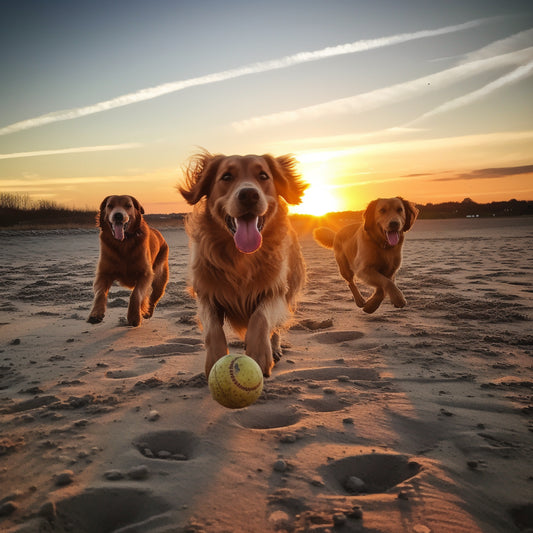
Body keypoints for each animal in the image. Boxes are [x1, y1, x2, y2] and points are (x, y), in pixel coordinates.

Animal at [88, 194, 168, 324]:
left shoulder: (145, 274)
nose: (118, 215)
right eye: (110, 205)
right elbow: (100, 293)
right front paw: (96, 313)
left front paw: (134, 316)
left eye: (128, 205)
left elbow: (136, 294)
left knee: (154, 296)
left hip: (160, 277)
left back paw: (147, 312)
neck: (123, 243)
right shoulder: (103, 273)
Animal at [178, 152, 308, 376]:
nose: (248, 195)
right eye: (226, 177)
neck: (241, 257)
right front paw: (215, 359)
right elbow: (213, 328)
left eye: (263, 176)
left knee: (277, 327)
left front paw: (259, 353)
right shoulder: (206, 294)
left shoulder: (274, 290)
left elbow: (261, 318)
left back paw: (274, 348)